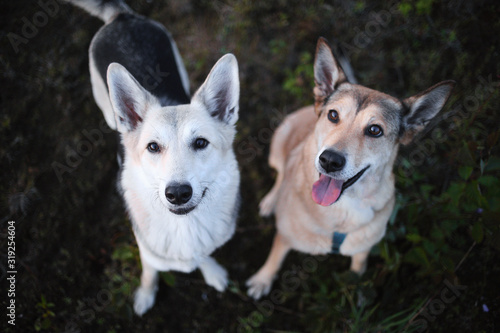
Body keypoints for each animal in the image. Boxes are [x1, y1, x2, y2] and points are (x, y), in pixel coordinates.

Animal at [246, 38, 454, 298]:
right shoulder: (284, 235)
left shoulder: (364, 247)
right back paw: (270, 201)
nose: (329, 160)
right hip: (278, 143)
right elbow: (274, 258)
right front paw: (262, 279)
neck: (342, 209)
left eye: (375, 130)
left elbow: (357, 268)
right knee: (281, 171)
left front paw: (357, 289)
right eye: (333, 115)